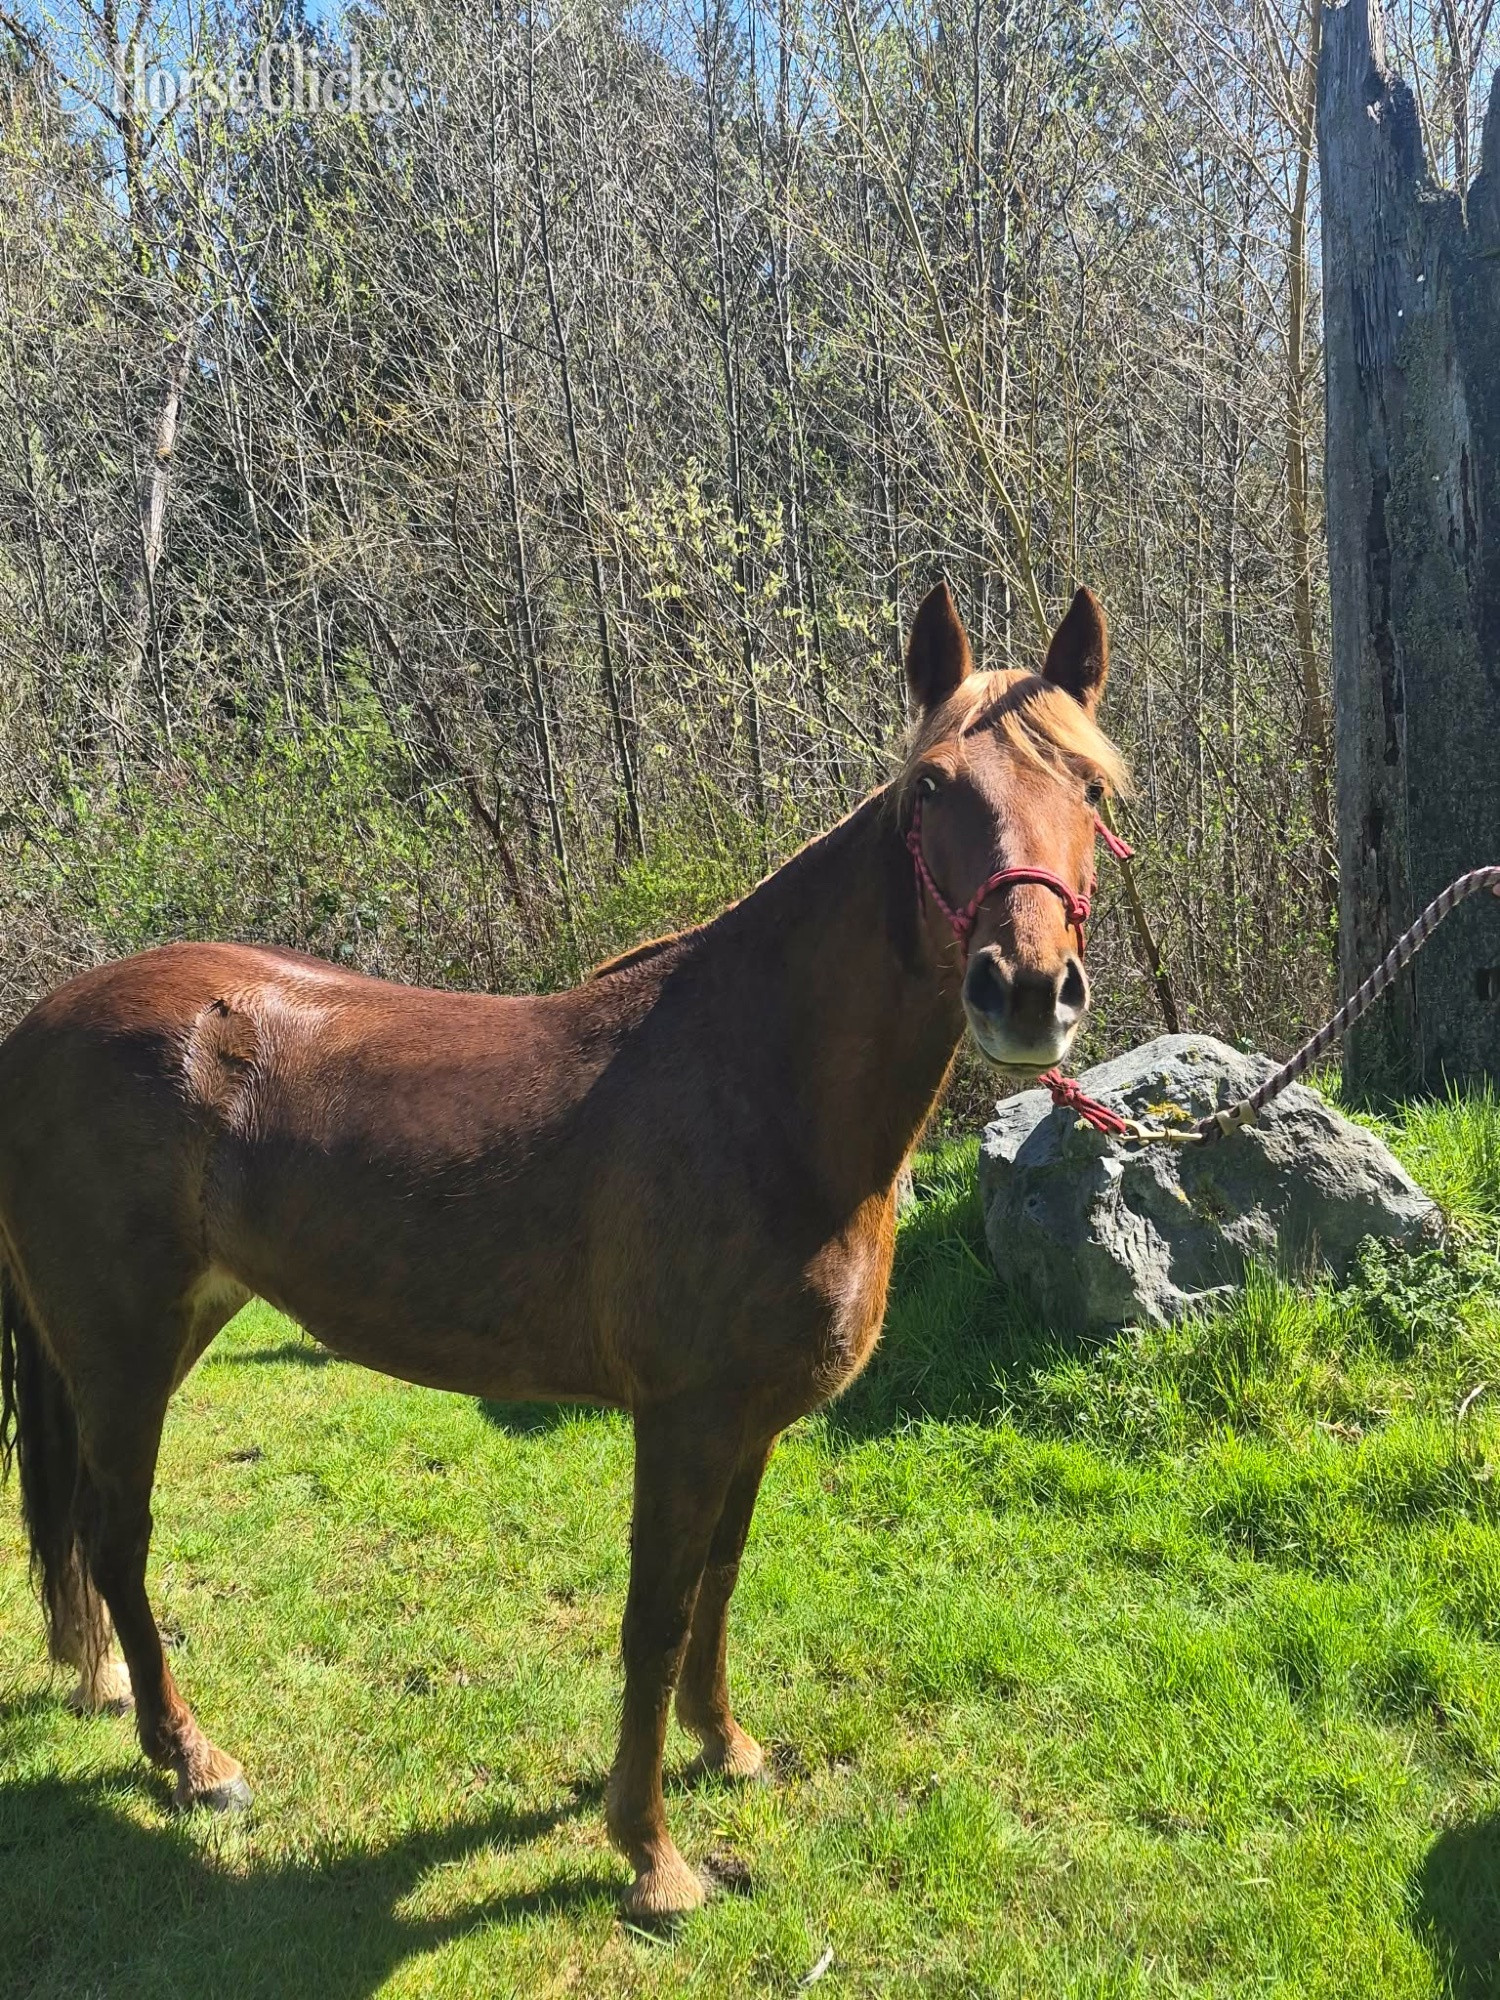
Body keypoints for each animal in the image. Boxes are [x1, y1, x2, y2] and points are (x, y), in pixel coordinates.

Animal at [0, 580, 1125, 1919]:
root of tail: (38, 1026)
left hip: (161, 1332)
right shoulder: (682, 1418)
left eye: (1095, 787)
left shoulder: (749, 1420)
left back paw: (111, 1688)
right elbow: (654, 1613)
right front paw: (651, 1855)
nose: (1027, 989)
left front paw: (726, 1745)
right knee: (116, 1531)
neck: (761, 1088)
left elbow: (720, 1582)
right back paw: (192, 1757)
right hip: (123, 1347)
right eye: (933, 787)